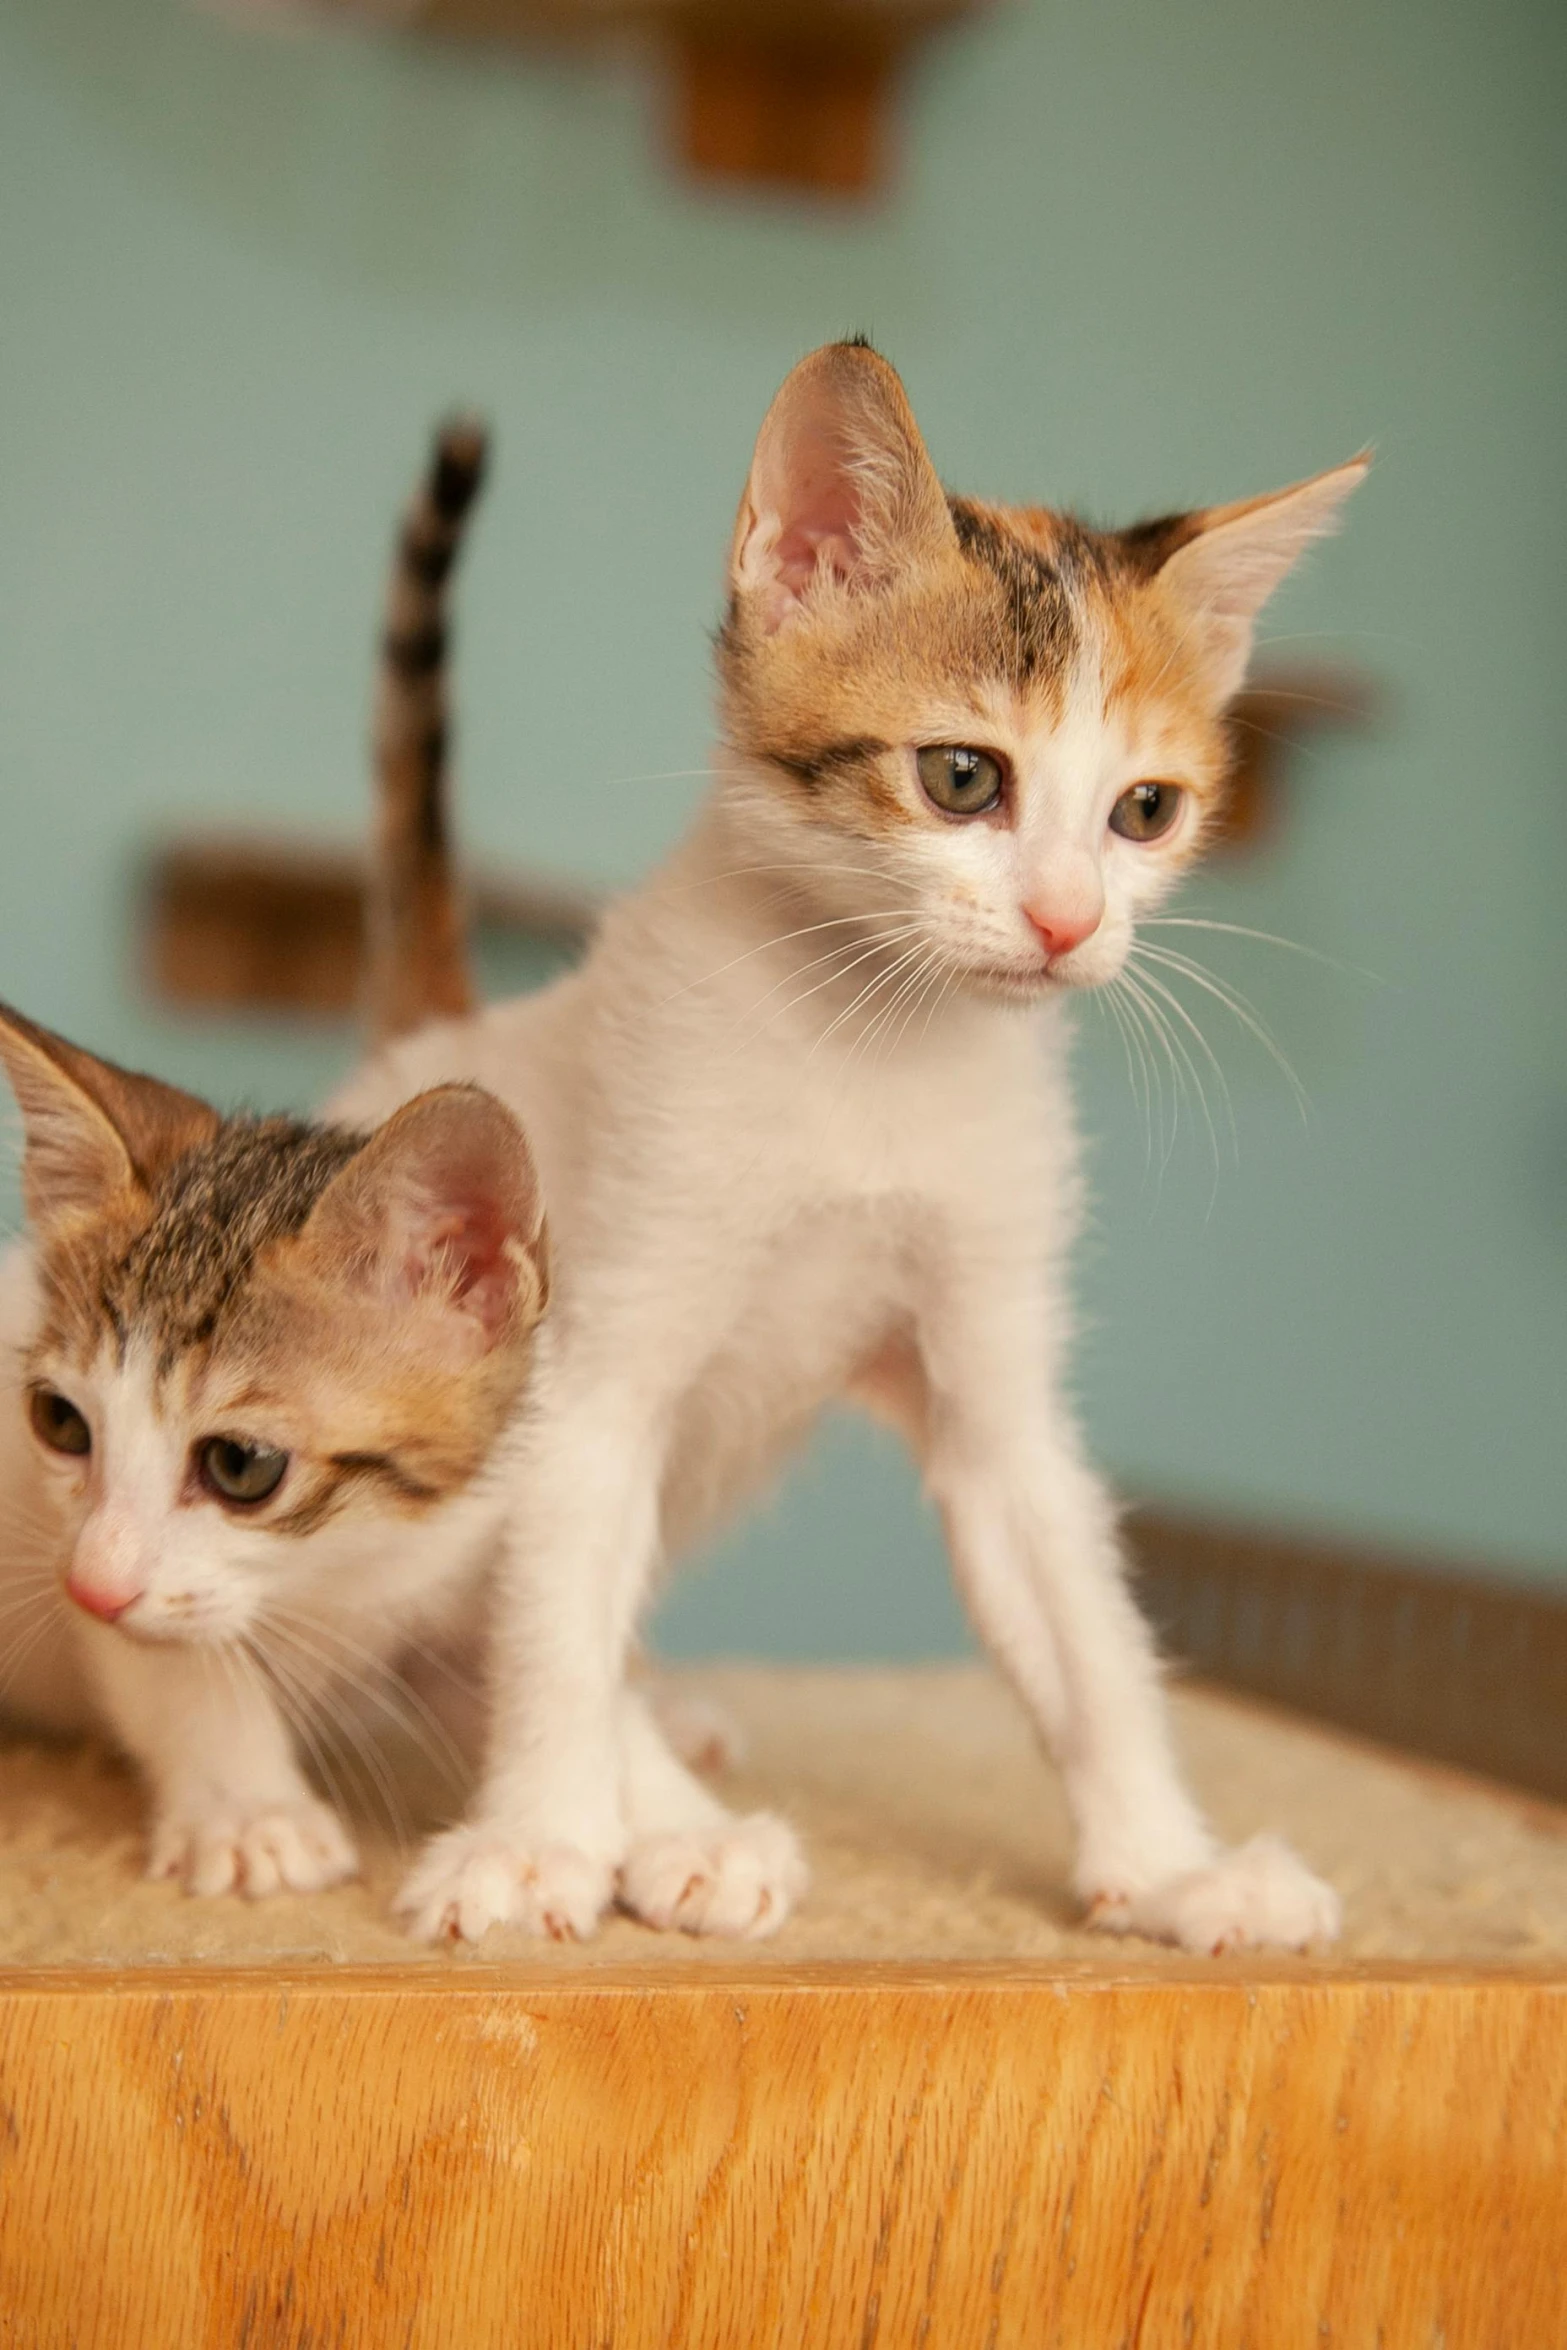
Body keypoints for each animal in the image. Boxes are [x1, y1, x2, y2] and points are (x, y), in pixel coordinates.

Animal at [333, 336, 1372, 1945]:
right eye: (961, 777)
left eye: (1144, 810)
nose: (1068, 919)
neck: (875, 1055)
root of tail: (439, 1035)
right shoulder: (590, 1373)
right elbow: (553, 1622)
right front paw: (542, 1838)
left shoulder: (997, 1387)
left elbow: (1087, 1634)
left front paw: (1165, 1861)